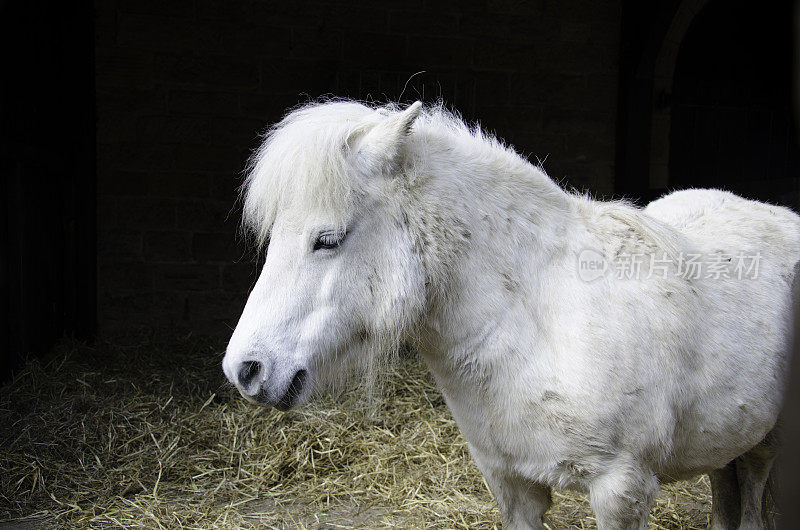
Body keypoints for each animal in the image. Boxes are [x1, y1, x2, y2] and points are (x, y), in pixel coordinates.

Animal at [220, 100, 800, 528]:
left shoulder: (621, 489)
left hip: (766, 444)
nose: (244, 369)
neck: (538, 324)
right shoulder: (511, 484)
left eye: (328, 239)